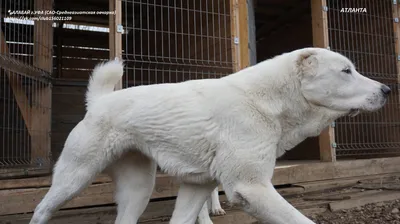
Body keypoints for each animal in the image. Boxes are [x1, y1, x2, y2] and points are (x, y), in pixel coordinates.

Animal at [28, 46, 390, 222]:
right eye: (346, 71)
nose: (387, 90)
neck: (266, 101)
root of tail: (100, 101)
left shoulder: (198, 185)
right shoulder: (251, 188)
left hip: (138, 190)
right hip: (74, 178)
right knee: (41, 210)